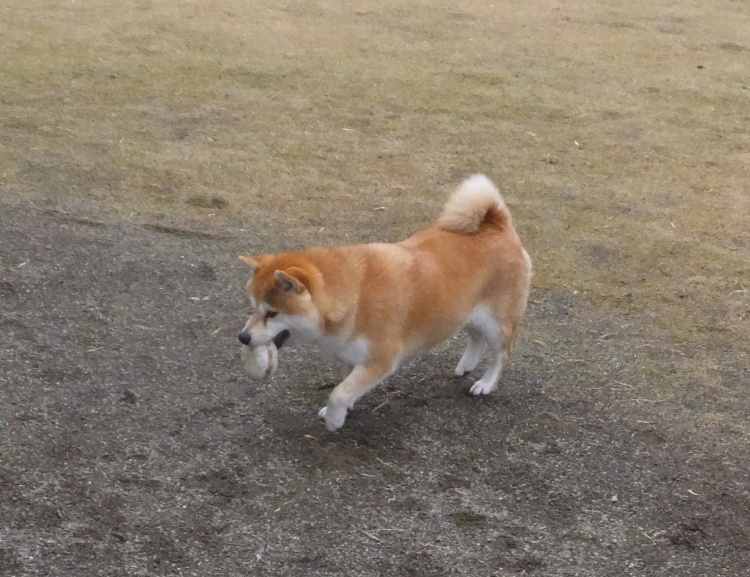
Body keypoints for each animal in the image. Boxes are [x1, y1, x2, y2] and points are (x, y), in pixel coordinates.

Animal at [238, 174, 532, 431]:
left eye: (272, 313)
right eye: (252, 307)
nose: (242, 337)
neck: (355, 295)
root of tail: (498, 225)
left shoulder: (381, 360)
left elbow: (338, 392)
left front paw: (335, 419)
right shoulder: (350, 356)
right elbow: (346, 385)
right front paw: (345, 409)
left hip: (497, 324)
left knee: (501, 356)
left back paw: (486, 383)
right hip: (463, 312)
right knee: (476, 337)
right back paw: (466, 365)